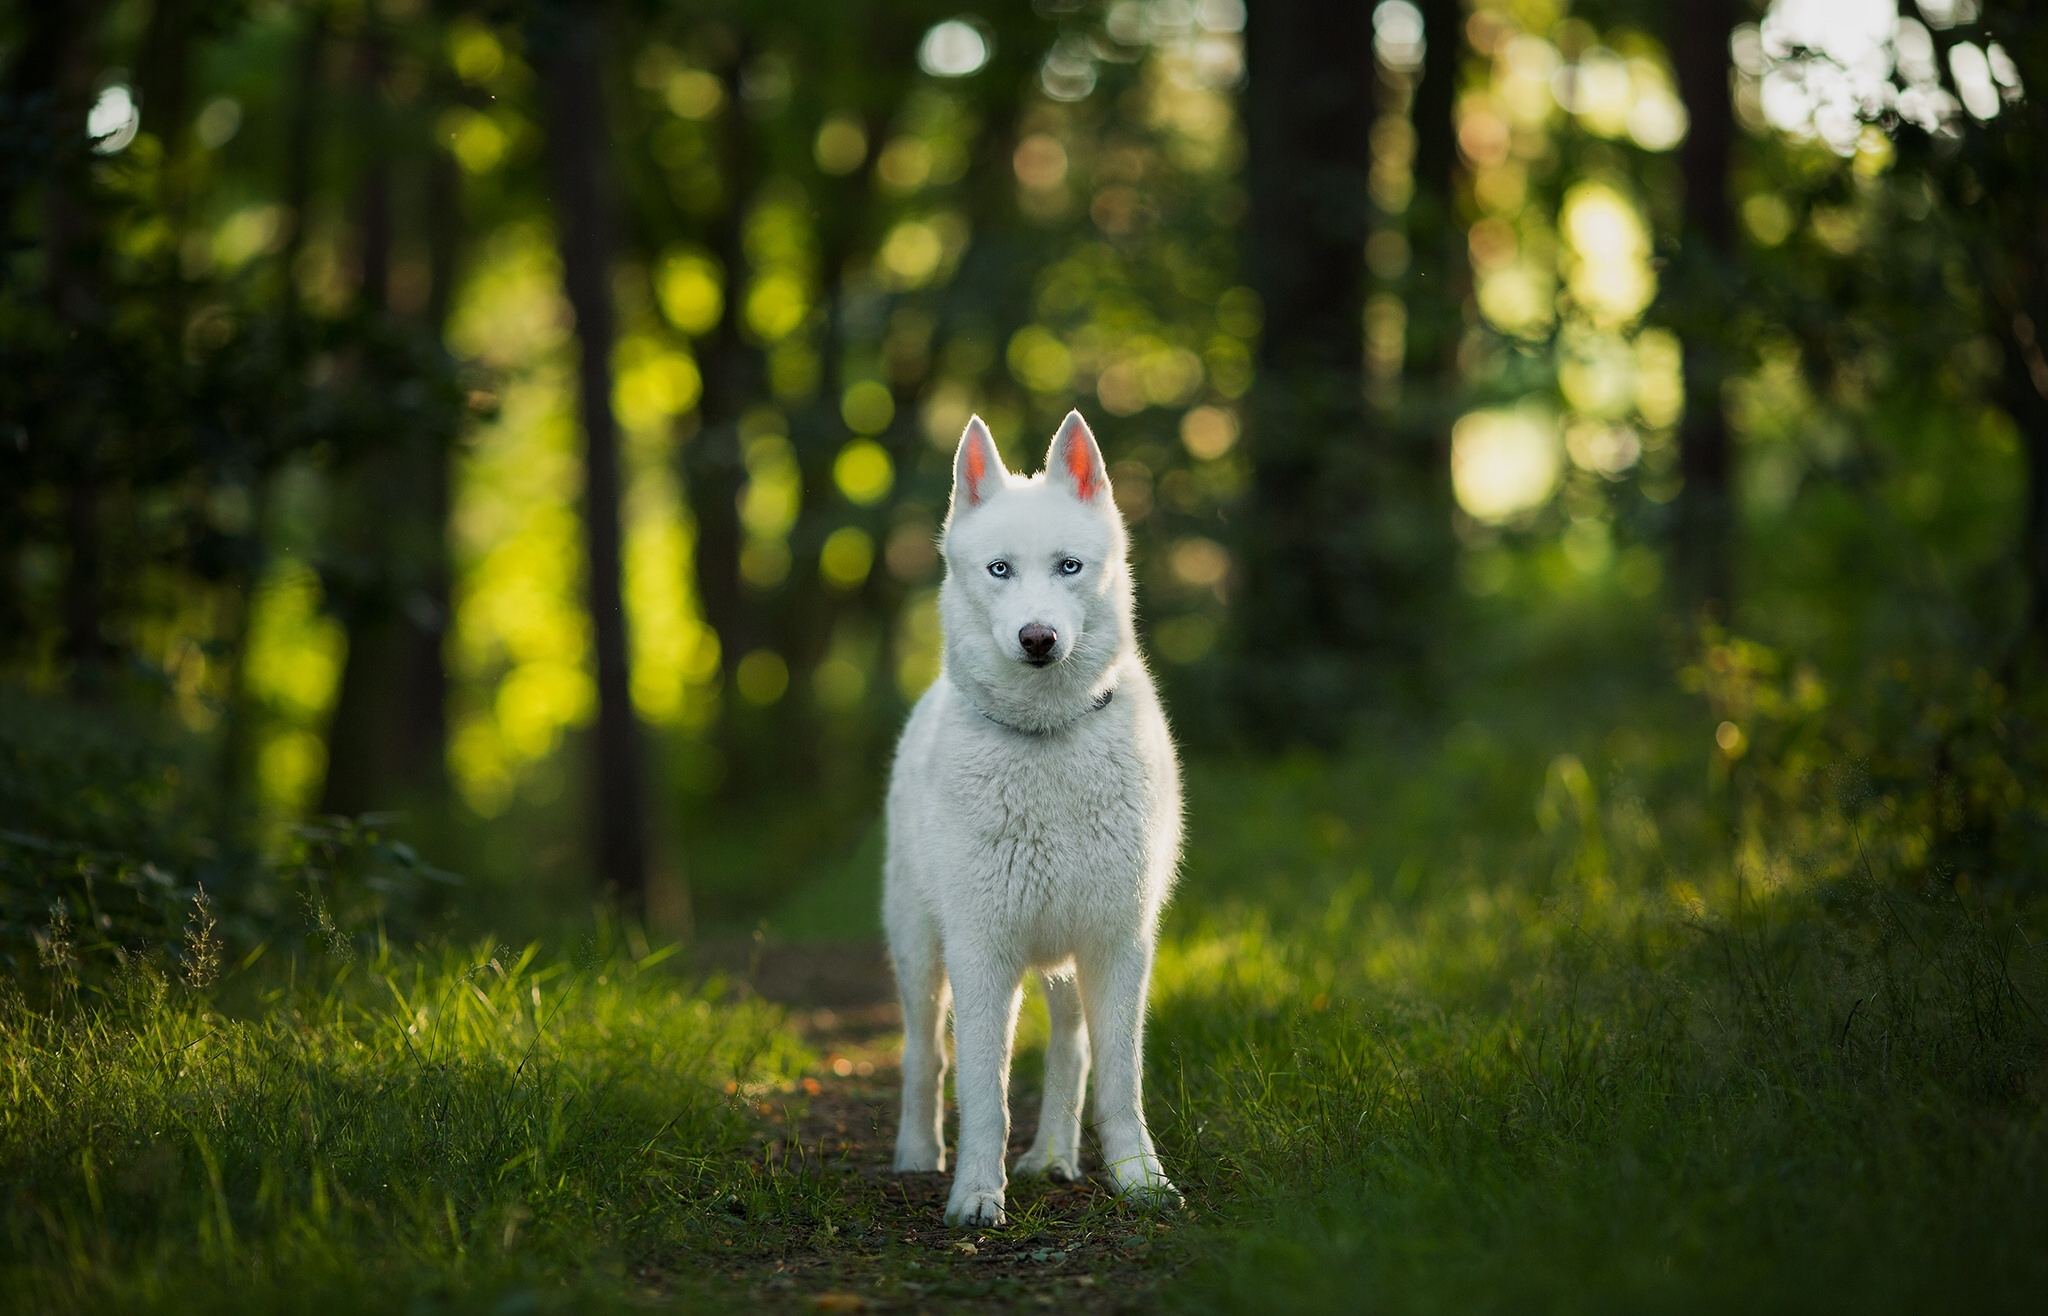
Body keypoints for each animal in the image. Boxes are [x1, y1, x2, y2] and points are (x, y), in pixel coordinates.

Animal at [884, 409, 1187, 1227]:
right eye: (999, 571)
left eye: (1069, 567)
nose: (1038, 639)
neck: (1047, 739)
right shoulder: (982, 955)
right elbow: (982, 1092)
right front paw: (976, 1197)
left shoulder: (1118, 946)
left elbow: (1119, 1080)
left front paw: (1140, 1180)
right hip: (921, 954)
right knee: (924, 1055)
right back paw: (917, 1154)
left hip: (1064, 963)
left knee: (1069, 1054)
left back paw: (1053, 1156)